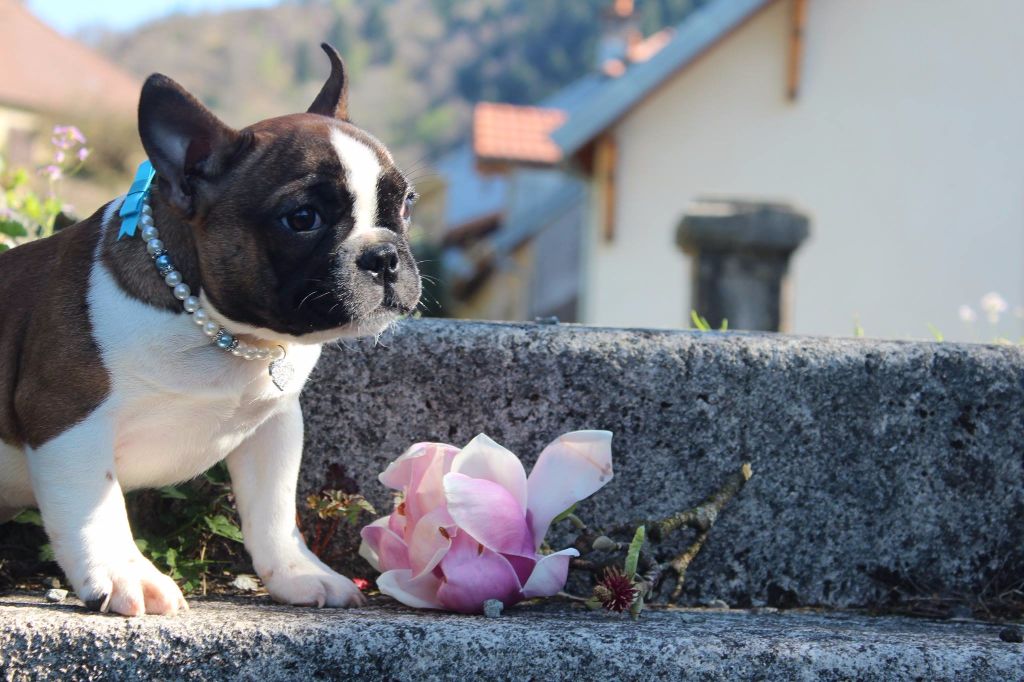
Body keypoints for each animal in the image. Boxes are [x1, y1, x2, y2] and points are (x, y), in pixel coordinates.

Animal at [0, 45, 419, 614]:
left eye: (405, 204)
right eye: (302, 218)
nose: (384, 257)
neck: (219, 332)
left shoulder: (274, 427)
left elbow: (273, 514)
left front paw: (299, 574)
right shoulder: (68, 420)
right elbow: (97, 507)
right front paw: (127, 575)